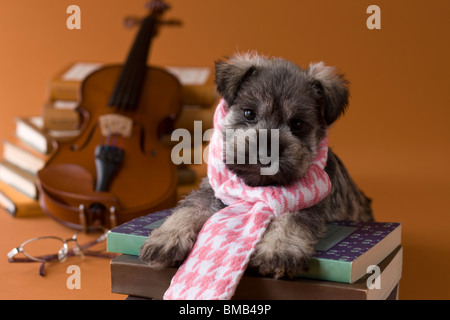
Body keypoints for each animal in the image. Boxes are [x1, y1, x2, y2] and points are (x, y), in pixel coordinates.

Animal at [141, 52, 372, 278]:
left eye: (297, 123)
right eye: (249, 113)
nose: (265, 155)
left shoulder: (307, 201)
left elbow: (291, 220)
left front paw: (279, 249)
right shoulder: (209, 191)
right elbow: (188, 209)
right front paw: (167, 238)